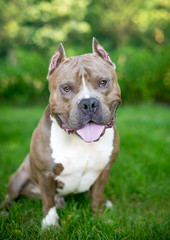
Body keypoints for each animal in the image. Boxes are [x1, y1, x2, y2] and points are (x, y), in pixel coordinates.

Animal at [3, 38, 121, 229]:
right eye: (66, 88)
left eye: (103, 82)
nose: (89, 103)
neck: (80, 140)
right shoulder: (45, 174)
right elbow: (48, 201)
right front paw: (50, 224)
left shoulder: (105, 170)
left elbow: (96, 196)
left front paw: (100, 217)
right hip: (17, 178)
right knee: (11, 197)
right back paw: (4, 212)